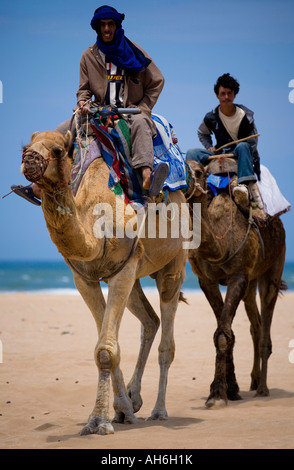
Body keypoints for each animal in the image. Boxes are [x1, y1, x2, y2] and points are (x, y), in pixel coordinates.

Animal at [20, 127, 188, 434]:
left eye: (58, 150)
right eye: (26, 147)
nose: (29, 159)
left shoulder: (123, 269)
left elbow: (106, 350)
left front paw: (99, 420)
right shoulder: (85, 277)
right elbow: (110, 346)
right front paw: (120, 410)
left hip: (175, 262)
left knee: (166, 341)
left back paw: (159, 411)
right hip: (133, 275)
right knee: (150, 320)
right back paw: (134, 400)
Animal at [185, 158, 286, 408]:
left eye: (199, 172)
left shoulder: (238, 275)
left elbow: (223, 333)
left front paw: (217, 395)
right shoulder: (206, 280)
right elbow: (223, 331)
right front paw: (230, 389)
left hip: (275, 263)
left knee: (266, 321)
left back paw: (263, 389)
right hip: (251, 283)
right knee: (255, 324)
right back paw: (254, 381)